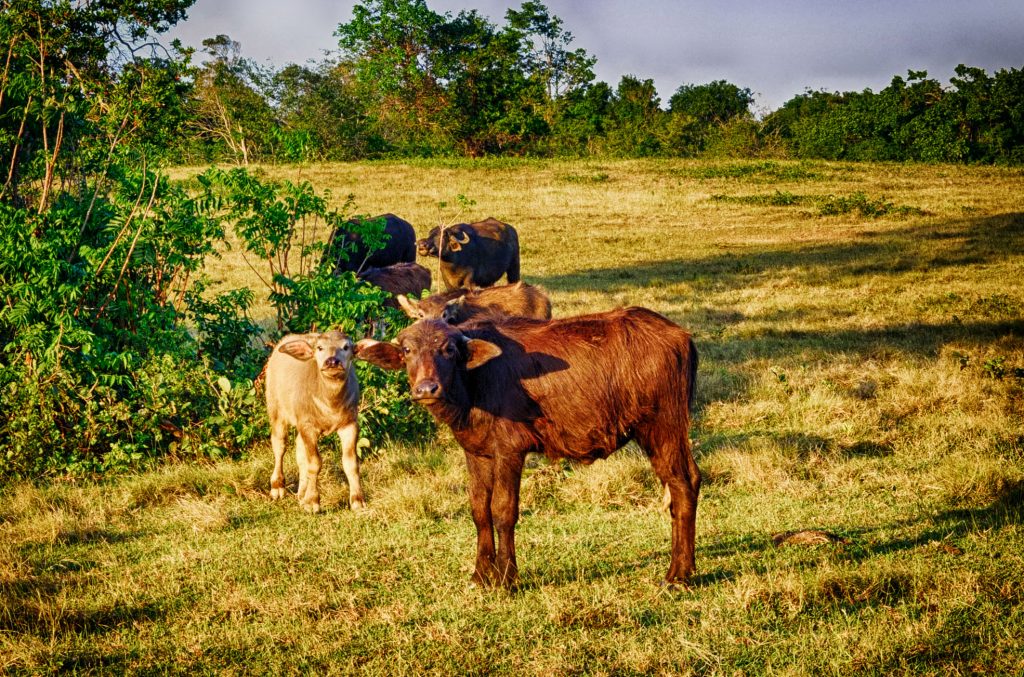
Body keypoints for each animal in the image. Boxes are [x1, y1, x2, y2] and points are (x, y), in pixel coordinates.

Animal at [356, 307, 700, 585]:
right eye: (408, 350)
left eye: (449, 349)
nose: (427, 388)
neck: (474, 383)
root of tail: (680, 335)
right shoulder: (476, 453)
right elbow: (479, 509)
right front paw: (480, 575)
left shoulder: (510, 451)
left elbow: (503, 510)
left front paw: (506, 577)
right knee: (687, 482)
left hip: (664, 426)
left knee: (682, 484)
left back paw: (677, 575)